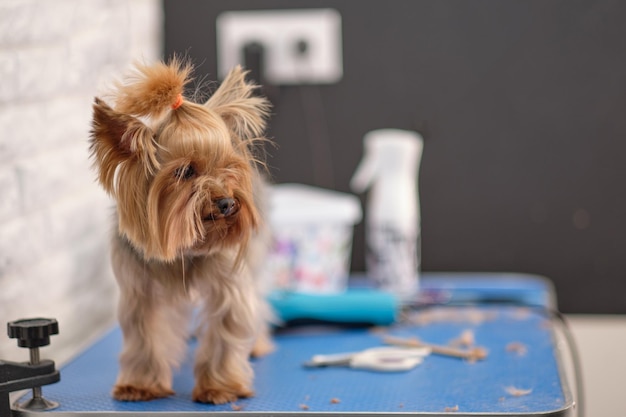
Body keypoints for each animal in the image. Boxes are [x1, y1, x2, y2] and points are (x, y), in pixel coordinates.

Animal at [89, 58, 272, 404]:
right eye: (186, 171)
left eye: (228, 166)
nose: (227, 202)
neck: (186, 250)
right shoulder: (140, 290)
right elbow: (145, 335)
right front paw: (141, 384)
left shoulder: (228, 281)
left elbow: (228, 327)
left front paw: (219, 386)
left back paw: (258, 343)